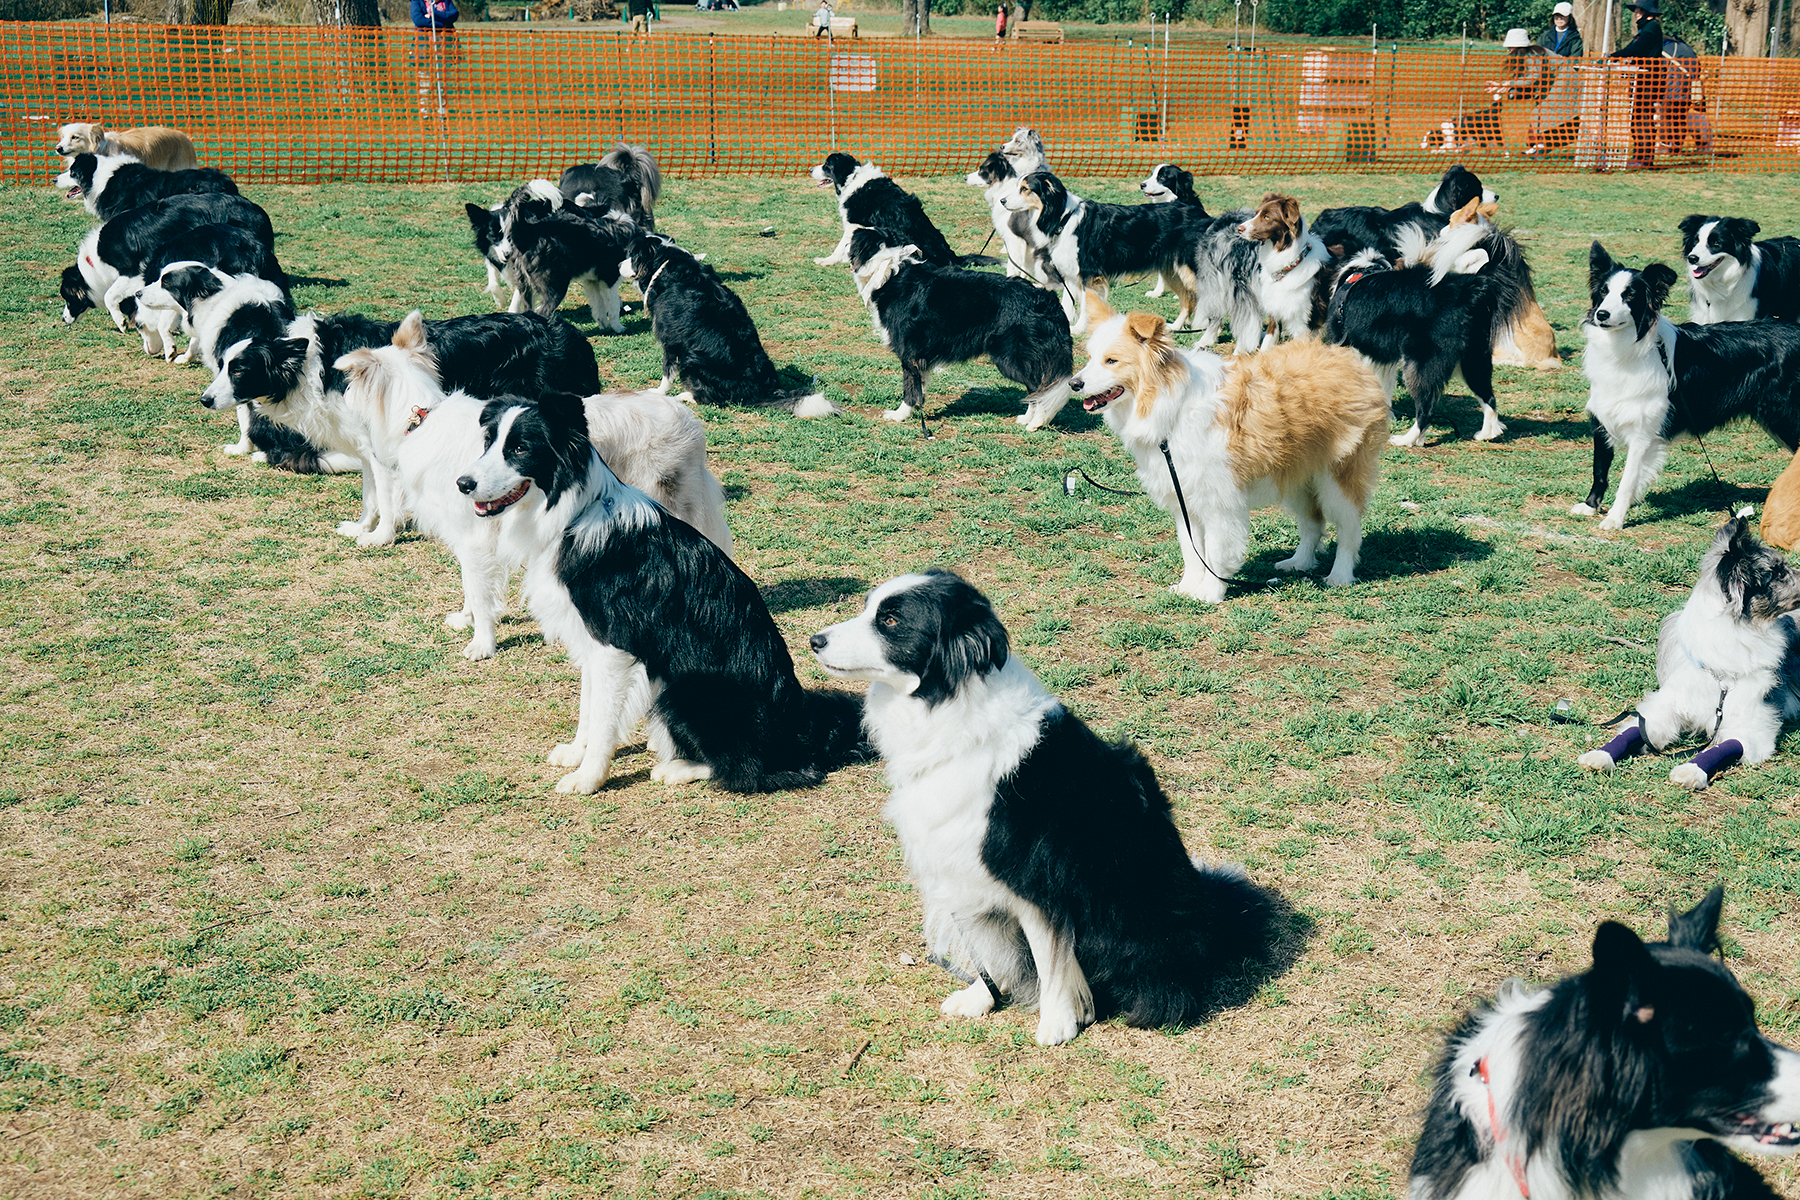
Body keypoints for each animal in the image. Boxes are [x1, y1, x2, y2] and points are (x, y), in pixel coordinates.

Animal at [338, 314, 730, 662]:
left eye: (349, 384)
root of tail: (687, 419)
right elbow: (472, 587)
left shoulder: (474, 537)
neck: (421, 417)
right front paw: (465, 618)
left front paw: (482, 643)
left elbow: (477, 589)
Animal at [1058, 295, 1382, 604]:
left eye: (1111, 361)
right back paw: (1298, 563)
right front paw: (1187, 587)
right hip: (1297, 476)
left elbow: (1214, 552)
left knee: (1349, 528)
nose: (1074, 383)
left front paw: (1211, 593)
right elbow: (1191, 550)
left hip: (1337, 478)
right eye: (1089, 358)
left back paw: (1339, 575)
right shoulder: (1184, 496)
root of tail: (1346, 356)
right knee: (1312, 521)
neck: (1171, 407)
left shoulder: (1219, 500)